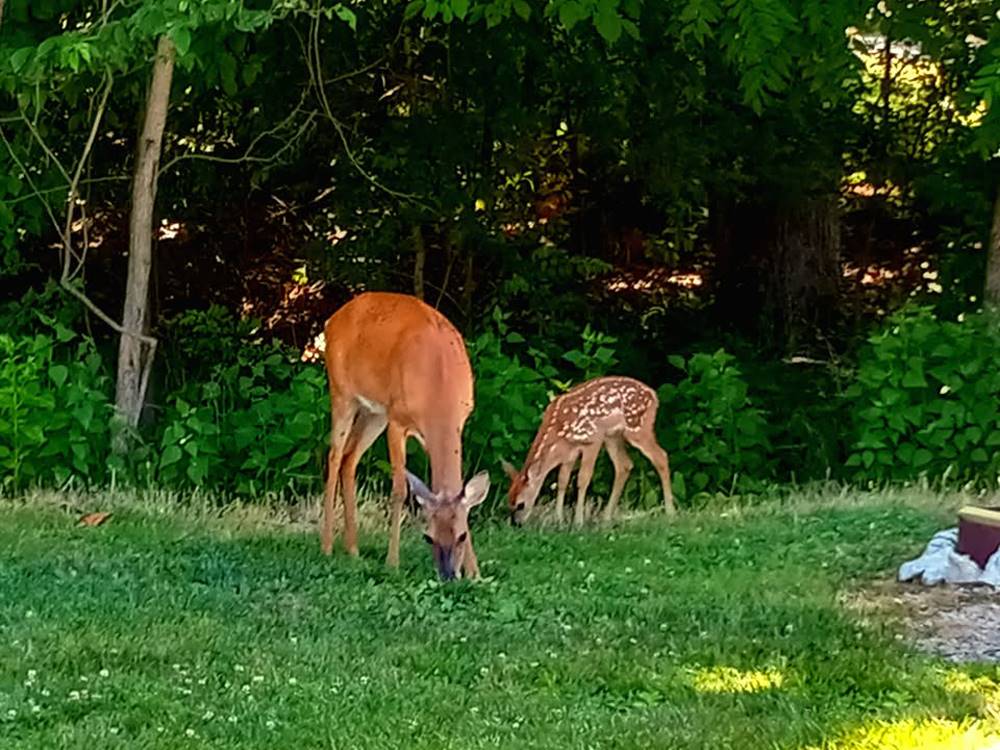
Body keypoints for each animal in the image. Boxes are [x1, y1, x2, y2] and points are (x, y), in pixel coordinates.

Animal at [321, 291, 490, 581]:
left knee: (349, 458)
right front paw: (392, 562)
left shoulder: (458, 422)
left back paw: (353, 549)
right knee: (334, 455)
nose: (448, 575)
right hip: (342, 392)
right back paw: (328, 546)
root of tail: (333, 318)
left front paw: (474, 571)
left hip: (374, 412)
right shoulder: (397, 421)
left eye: (462, 535)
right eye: (428, 537)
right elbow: (399, 490)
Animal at [502, 376, 674, 527]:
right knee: (624, 465)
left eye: (521, 504)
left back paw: (670, 513)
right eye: (508, 503)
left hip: (637, 428)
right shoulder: (570, 451)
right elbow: (562, 481)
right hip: (613, 436)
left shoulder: (592, 439)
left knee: (661, 456)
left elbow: (582, 479)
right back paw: (606, 518)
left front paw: (578, 522)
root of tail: (654, 396)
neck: (558, 432)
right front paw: (559, 520)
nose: (517, 524)